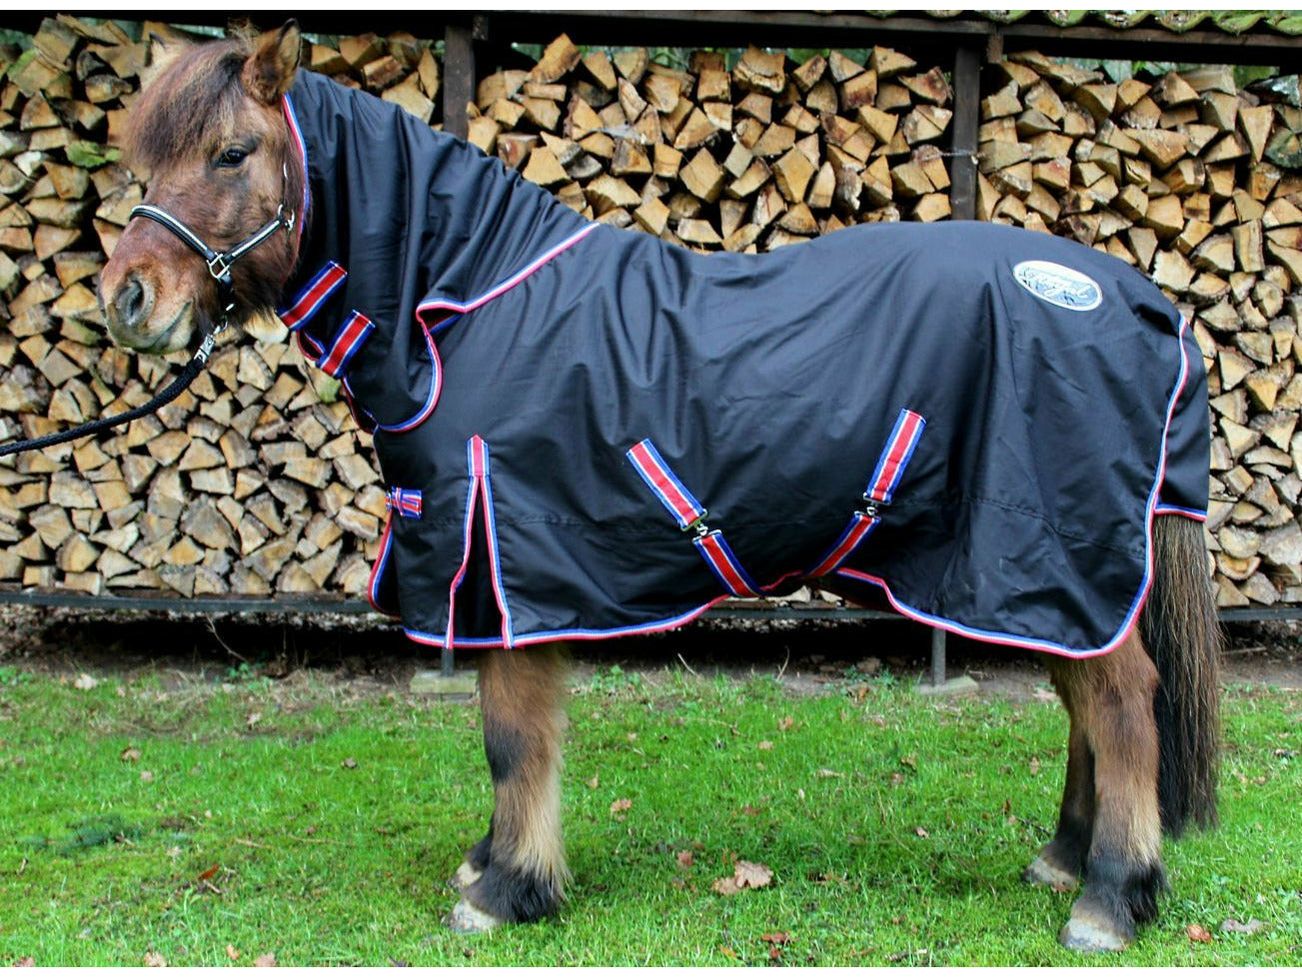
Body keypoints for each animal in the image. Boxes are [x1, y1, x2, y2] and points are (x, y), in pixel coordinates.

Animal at [98, 24, 1218, 958]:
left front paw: (506, 889)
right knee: (1085, 704)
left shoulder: (512, 574)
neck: (469, 310)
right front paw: (492, 863)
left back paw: (1109, 898)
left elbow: (511, 739)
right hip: (1029, 586)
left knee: (1122, 704)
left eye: (232, 153)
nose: (126, 301)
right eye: (143, 162)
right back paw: (1068, 860)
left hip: (1043, 563)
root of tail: (1139, 298)